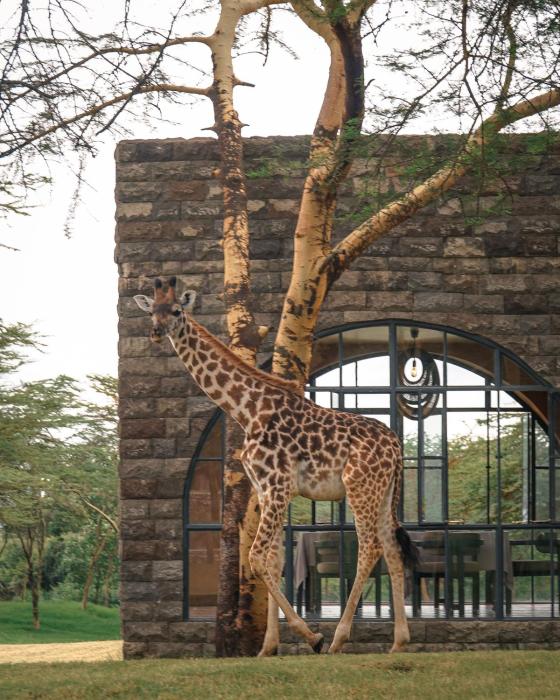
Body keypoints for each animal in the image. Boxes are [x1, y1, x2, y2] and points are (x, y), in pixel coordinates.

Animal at [134, 277, 418, 656]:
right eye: (152, 310)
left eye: (177, 310)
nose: (155, 331)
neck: (248, 410)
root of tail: (396, 446)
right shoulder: (266, 488)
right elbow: (270, 559)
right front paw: (268, 647)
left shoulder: (277, 485)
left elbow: (256, 557)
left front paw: (311, 636)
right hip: (383, 492)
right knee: (392, 549)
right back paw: (399, 642)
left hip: (359, 486)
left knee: (370, 547)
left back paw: (338, 639)